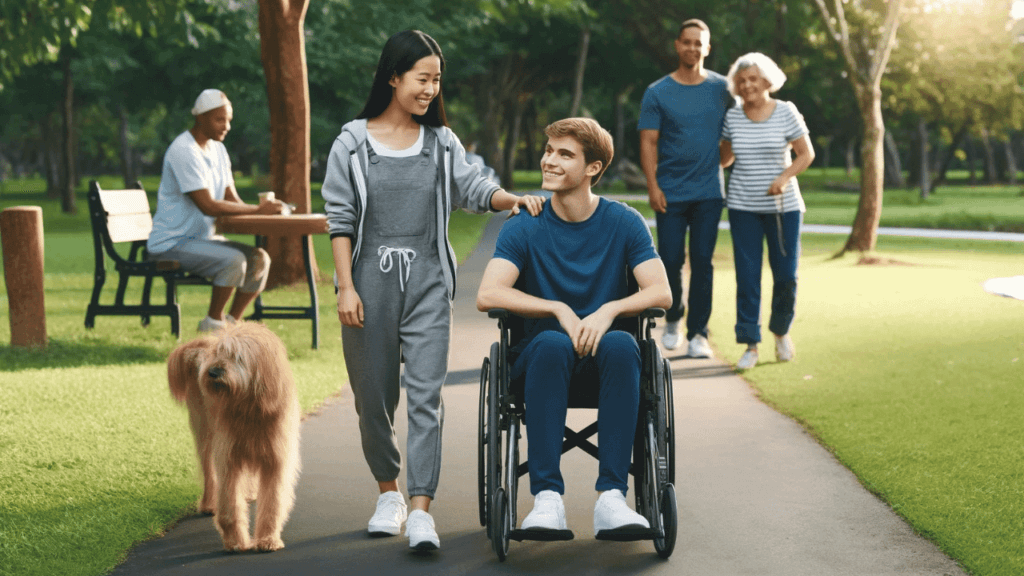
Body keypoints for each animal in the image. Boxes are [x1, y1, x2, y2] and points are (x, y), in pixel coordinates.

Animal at [167, 319, 301, 549]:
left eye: (237, 356)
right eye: (218, 353)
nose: (212, 372)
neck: (250, 409)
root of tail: (202, 345)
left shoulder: (275, 458)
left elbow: (273, 503)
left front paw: (267, 538)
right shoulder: (228, 456)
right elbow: (229, 503)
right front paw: (235, 540)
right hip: (205, 434)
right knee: (208, 472)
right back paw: (208, 503)